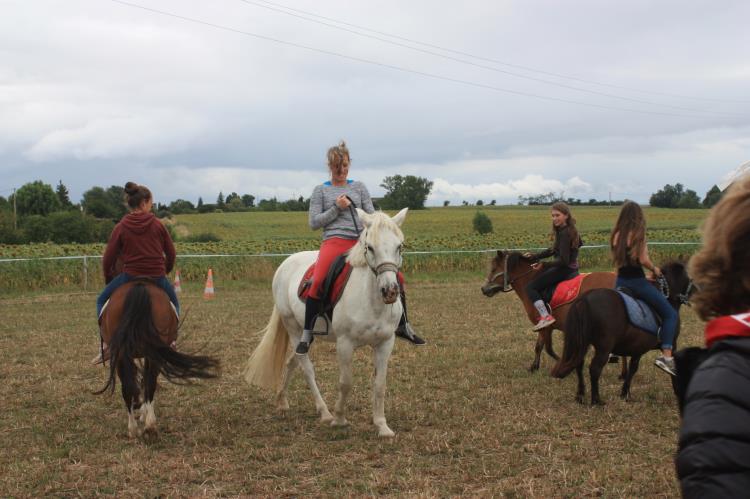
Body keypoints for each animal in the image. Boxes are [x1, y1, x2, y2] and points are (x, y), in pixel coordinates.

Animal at [95, 282, 219, 442]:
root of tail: (139, 286)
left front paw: (141, 409)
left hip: (130, 354)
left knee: (136, 386)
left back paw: (136, 428)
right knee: (146, 383)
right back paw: (149, 427)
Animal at [245, 207, 412, 438]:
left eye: (399, 246)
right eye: (370, 247)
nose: (390, 291)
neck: (371, 301)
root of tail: (285, 264)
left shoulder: (385, 343)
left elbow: (380, 384)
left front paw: (382, 426)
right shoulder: (345, 343)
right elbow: (345, 382)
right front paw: (339, 419)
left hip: (307, 334)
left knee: (292, 361)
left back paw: (282, 401)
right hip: (293, 327)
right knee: (305, 367)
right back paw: (324, 413)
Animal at [482, 252, 616, 374]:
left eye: (494, 269)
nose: (483, 289)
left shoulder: (546, 327)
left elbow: (548, 349)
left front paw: (563, 364)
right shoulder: (542, 326)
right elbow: (539, 346)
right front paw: (534, 367)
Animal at [552, 262, 692, 406]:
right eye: (689, 277)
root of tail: (585, 299)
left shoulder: (638, 349)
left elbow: (632, 369)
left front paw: (625, 393)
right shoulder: (671, 344)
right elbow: (671, 367)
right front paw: (677, 391)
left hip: (583, 343)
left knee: (579, 364)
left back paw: (580, 395)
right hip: (604, 348)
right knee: (595, 369)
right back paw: (596, 400)